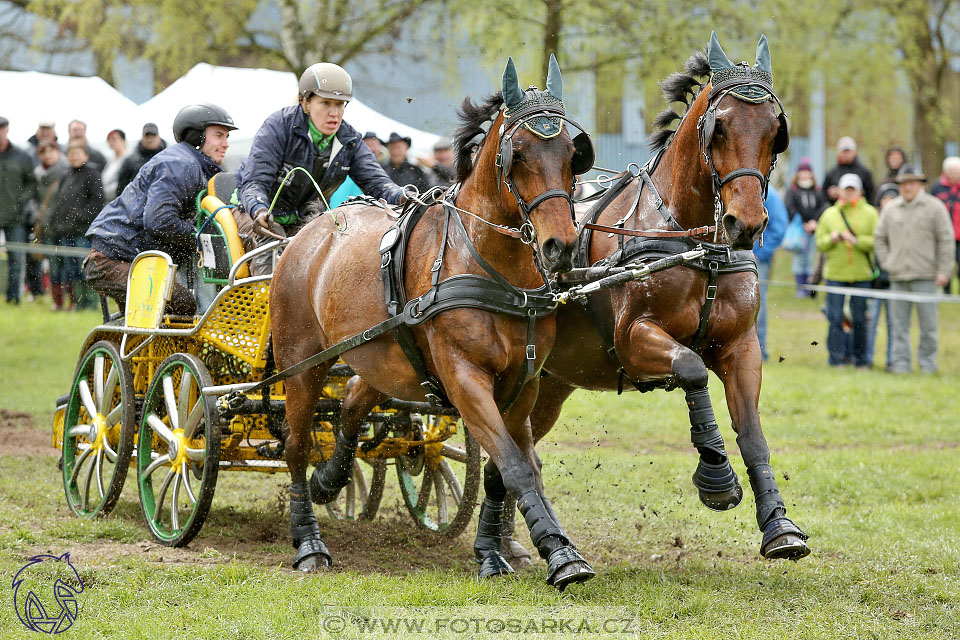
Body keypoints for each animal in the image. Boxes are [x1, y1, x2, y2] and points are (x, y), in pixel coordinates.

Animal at [270, 56, 600, 592]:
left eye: (573, 155)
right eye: (518, 155)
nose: (562, 247)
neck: (493, 268)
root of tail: (307, 233)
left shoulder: (523, 384)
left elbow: (503, 469)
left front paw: (503, 553)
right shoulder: (465, 378)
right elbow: (514, 464)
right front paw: (555, 554)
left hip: (383, 358)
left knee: (353, 402)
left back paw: (332, 478)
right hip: (302, 364)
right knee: (298, 447)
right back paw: (309, 542)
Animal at [484, 32, 808, 572]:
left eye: (773, 131)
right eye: (719, 128)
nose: (745, 223)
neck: (696, 245)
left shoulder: (741, 346)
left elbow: (752, 432)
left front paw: (779, 525)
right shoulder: (635, 337)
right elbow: (692, 368)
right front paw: (716, 477)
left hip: (546, 384)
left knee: (509, 452)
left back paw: (508, 545)